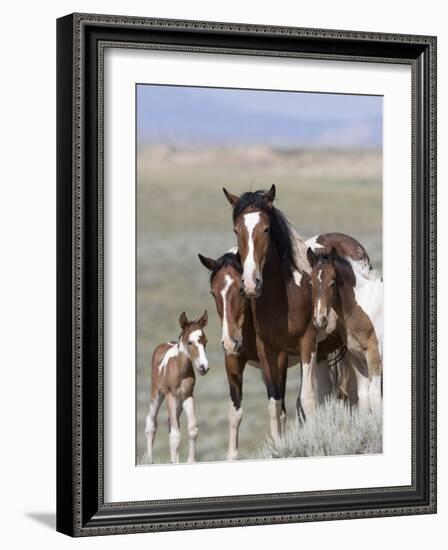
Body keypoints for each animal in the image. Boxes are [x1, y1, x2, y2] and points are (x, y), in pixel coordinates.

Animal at [146, 312, 211, 464]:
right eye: (190, 342)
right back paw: (150, 461)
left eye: (205, 341)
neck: (180, 370)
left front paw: (190, 461)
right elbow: (175, 435)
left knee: (171, 422)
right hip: (157, 393)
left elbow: (192, 428)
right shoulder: (169, 395)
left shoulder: (188, 396)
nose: (203, 367)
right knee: (151, 423)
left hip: (179, 401)